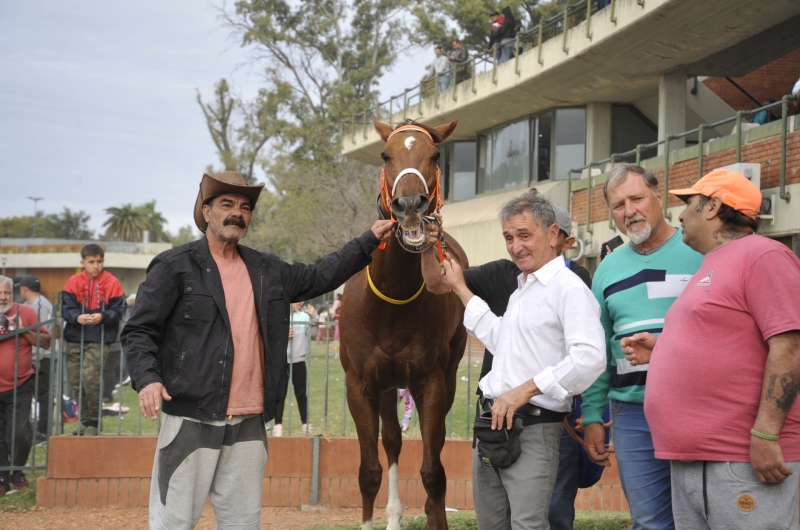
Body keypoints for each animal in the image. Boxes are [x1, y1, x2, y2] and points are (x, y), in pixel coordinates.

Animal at [340, 119, 466, 528]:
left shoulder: (430, 381)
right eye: (385, 155)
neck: (392, 300)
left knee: (431, 445)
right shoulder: (360, 384)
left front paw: (434, 514)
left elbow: (433, 471)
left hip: (447, 373)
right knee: (392, 439)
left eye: (436, 155)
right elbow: (369, 472)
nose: (410, 205)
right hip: (386, 383)